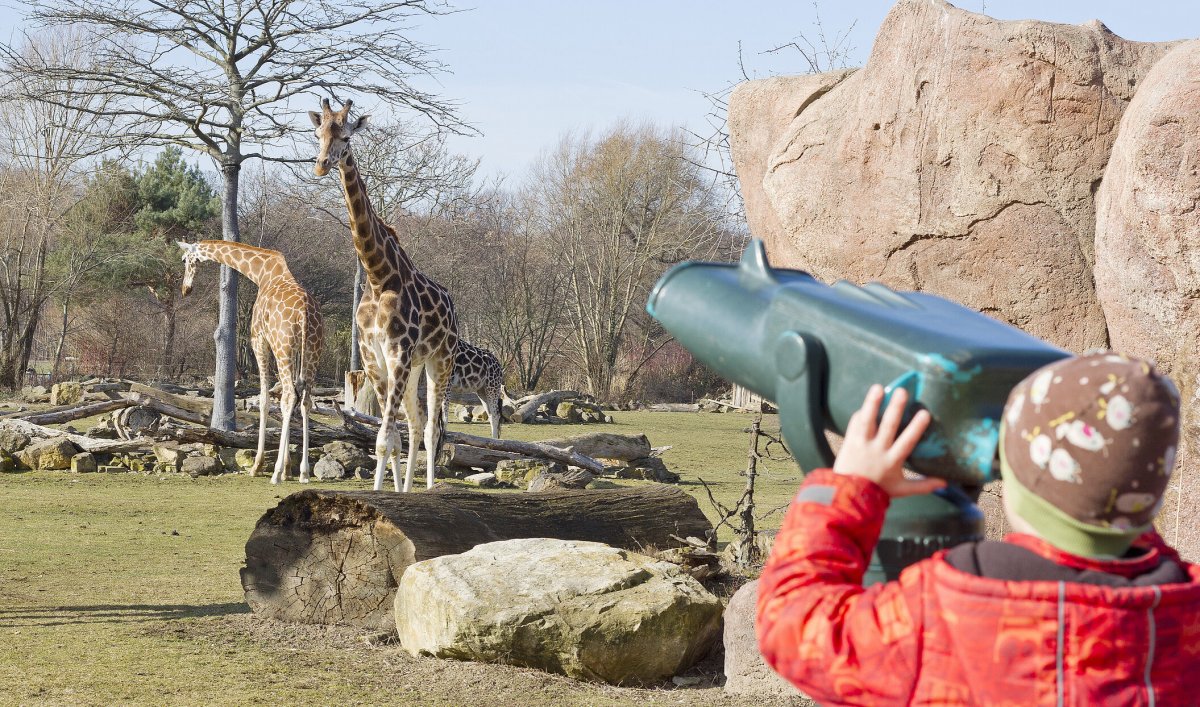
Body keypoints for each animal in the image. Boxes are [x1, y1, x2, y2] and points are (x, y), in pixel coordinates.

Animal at [178, 240, 324, 484]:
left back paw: (275, 474)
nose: (185, 289)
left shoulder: (259, 340)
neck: (262, 274)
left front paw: (258, 466)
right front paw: (288, 469)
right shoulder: (294, 351)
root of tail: (305, 314)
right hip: (313, 351)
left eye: (184, 260)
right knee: (304, 400)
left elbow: (264, 400)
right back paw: (304, 473)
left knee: (289, 396)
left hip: (283, 348)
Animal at [310, 98, 459, 492]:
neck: (378, 276)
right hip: (415, 365)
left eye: (346, 136)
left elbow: (384, 438)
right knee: (416, 422)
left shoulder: (398, 351)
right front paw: (385, 494)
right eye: (318, 132)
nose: (321, 165)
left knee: (433, 429)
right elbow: (389, 439)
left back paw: (430, 489)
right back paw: (406, 489)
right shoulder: (372, 354)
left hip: (440, 361)